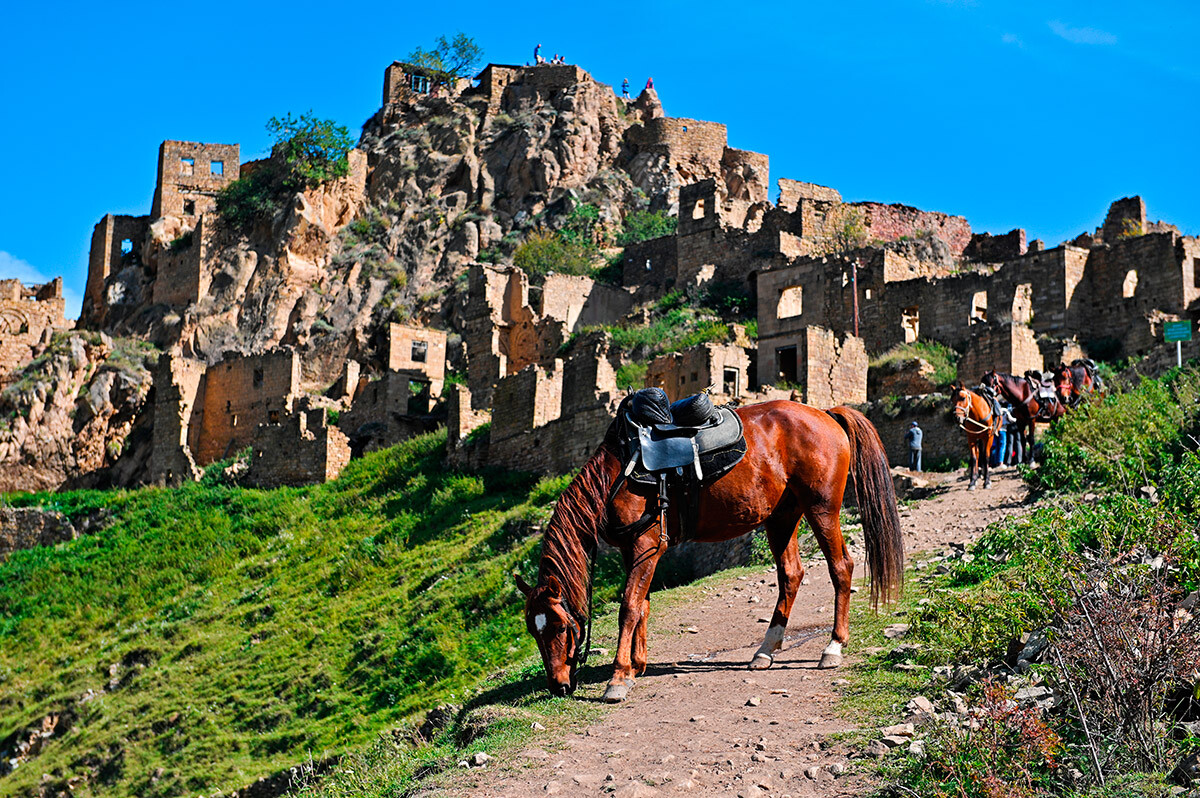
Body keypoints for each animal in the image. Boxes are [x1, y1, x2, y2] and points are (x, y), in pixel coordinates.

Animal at [513, 400, 902, 700]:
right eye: (533, 629)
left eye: (560, 626)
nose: (559, 686)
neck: (617, 475)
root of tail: (825, 413)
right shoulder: (632, 551)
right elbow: (643, 605)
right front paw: (637, 665)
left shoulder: (647, 545)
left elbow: (628, 606)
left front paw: (619, 677)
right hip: (782, 517)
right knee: (791, 574)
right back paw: (765, 651)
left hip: (821, 509)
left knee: (841, 567)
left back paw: (833, 647)